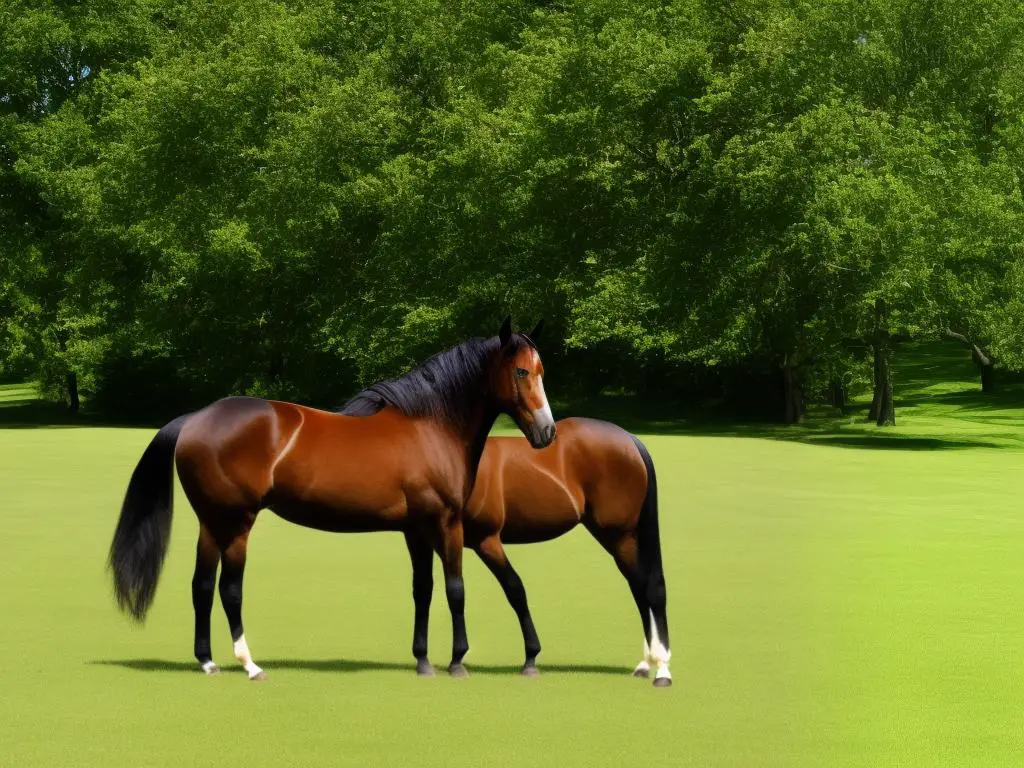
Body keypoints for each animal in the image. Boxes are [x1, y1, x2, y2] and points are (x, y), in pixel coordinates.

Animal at [108, 315, 557, 684]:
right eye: (521, 371)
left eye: (542, 371)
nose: (547, 432)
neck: (431, 426)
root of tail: (196, 419)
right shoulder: (446, 524)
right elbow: (455, 588)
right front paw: (457, 661)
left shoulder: (416, 529)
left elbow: (424, 589)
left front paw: (423, 660)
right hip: (236, 523)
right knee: (229, 589)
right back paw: (250, 665)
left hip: (211, 523)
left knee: (201, 585)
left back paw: (207, 661)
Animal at [407, 417, 671, 688]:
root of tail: (631, 440)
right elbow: (424, 590)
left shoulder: (485, 540)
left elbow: (512, 589)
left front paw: (529, 658)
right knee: (640, 591)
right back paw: (645, 665)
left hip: (621, 536)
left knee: (648, 590)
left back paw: (661, 670)